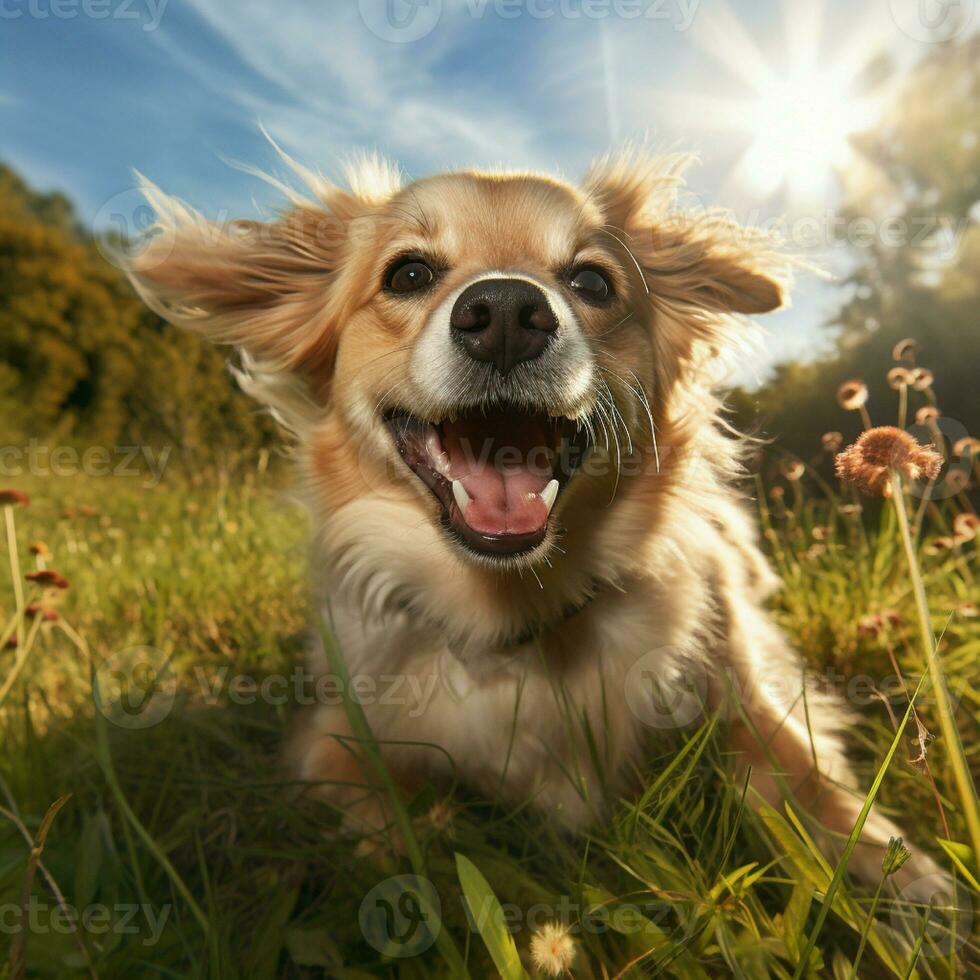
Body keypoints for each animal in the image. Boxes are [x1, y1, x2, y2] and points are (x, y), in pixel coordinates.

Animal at [126, 149, 936, 892]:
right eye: (408, 275)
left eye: (592, 282)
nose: (507, 315)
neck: (511, 615)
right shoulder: (332, 739)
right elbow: (378, 825)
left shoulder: (746, 698)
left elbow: (807, 781)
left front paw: (901, 875)